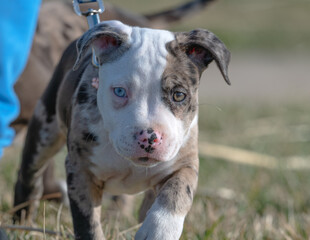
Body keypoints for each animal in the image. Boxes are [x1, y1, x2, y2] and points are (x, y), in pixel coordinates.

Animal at [13, 21, 230, 240]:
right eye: (119, 91)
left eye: (179, 95)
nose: (149, 137)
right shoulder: (81, 172)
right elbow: (88, 223)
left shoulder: (184, 162)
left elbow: (178, 192)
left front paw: (159, 229)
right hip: (44, 130)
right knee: (29, 177)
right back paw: (22, 223)